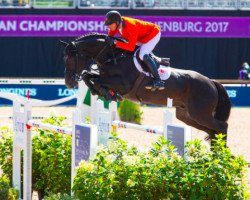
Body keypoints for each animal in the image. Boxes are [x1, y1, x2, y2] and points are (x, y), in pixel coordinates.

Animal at [61, 32, 231, 145]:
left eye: (71, 58)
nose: (68, 83)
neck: (114, 56)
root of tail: (211, 82)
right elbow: (89, 77)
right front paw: (104, 93)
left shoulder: (123, 84)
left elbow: (93, 79)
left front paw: (107, 93)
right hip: (187, 115)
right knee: (212, 131)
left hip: (200, 114)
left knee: (222, 127)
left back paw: (222, 156)